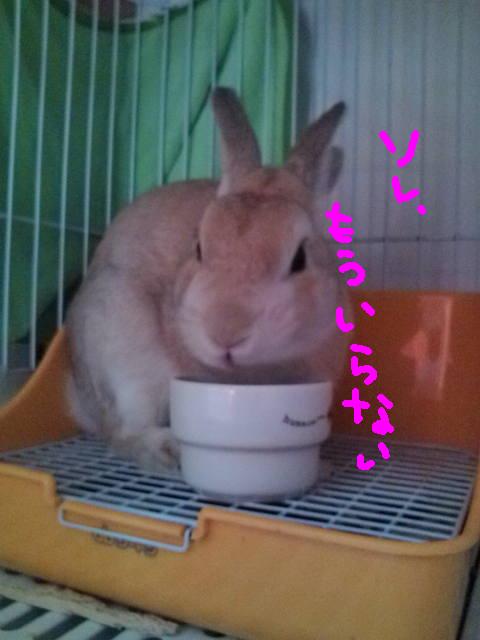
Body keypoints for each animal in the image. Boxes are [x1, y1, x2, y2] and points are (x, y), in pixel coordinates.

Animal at [65, 87, 351, 472]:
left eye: (299, 259)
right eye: (199, 247)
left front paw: (322, 467)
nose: (225, 334)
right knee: (121, 433)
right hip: (121, 347)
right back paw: (165, 451)